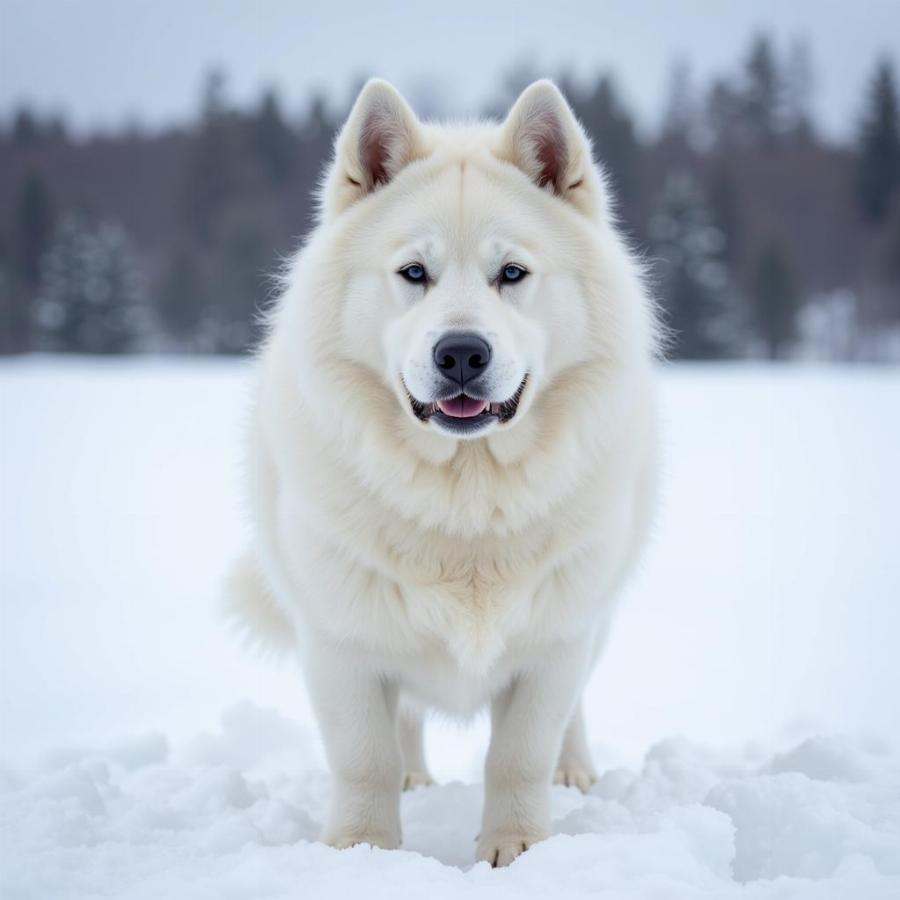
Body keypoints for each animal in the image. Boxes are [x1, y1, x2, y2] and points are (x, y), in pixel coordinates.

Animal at [229, 77, 656, 864]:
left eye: (511, 273)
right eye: (413, 274)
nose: (461, 352)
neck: (466, 490)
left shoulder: (555, 638)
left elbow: (520, 753)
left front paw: (516, 848)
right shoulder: (341, 637)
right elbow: (364, 754)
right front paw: (363, 849)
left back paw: (574, 772)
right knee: (403, 725)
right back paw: (412, 781)